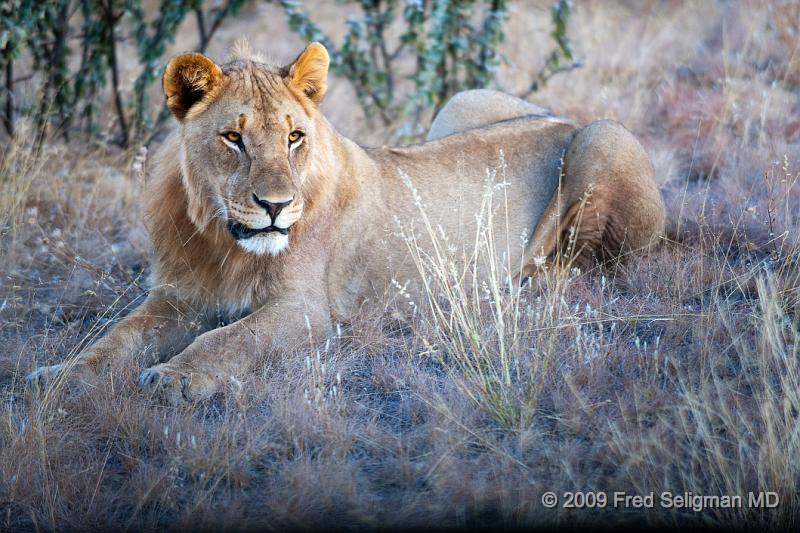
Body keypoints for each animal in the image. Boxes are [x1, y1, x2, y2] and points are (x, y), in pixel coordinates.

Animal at [26, 43, 664, 406]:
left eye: (294, 136)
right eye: (233, 138)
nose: (276, 206)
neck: (218, 240)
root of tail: (563, 118)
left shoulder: (309, 310)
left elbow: (231, 337)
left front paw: (177, 379)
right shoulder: (176, 298)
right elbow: (115, 340)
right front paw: (58, 376)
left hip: (602, 137)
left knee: (593, 265)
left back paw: (519, 284)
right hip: (464, 99)